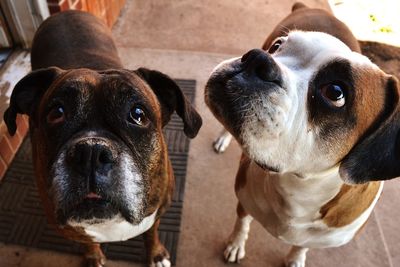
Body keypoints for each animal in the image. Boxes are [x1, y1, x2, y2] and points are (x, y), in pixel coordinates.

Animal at [4, 10, 202, 267]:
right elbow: (87, 241)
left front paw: (156, 254)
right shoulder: (68, 227)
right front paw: (93, 256)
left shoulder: (158, 212)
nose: (91, 152)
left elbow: (151, 233)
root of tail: (64, 12)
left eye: (138, 114)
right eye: (56, 113)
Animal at [206, 2, 400, 267]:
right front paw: (236, 244)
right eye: (277, 46)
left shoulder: (317, 238)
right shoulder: (243, 201)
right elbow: (241, 223)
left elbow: (302, 245)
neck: (298, 188)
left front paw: (296, 257)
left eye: (335, 92)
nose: (258, 58)